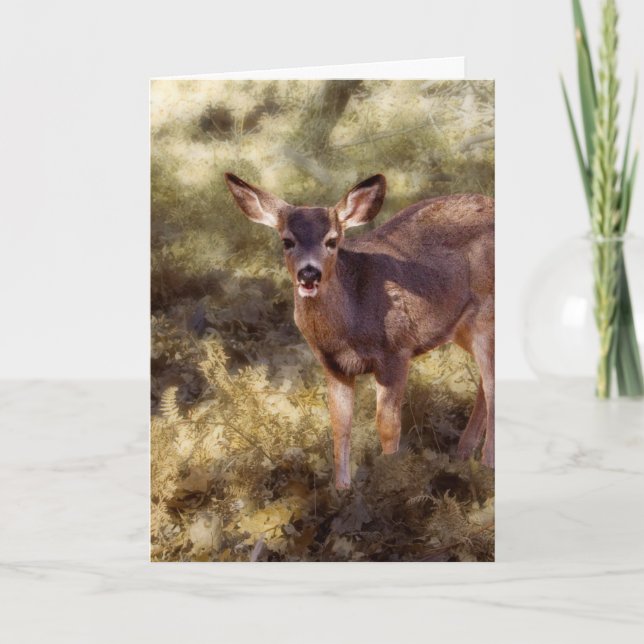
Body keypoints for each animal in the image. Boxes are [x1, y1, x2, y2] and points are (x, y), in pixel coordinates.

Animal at [224, 173, 494, 489]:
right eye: (287, 241)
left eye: (332, 240)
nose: (309, 273)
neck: (348, 326)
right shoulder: (333, 365)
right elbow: (340, 424)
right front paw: (342, 489)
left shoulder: (396, 350)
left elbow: (387, 424)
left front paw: (391, 479)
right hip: (462, 328)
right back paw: (464, 454)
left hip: (487, 317)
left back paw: (487, 466)